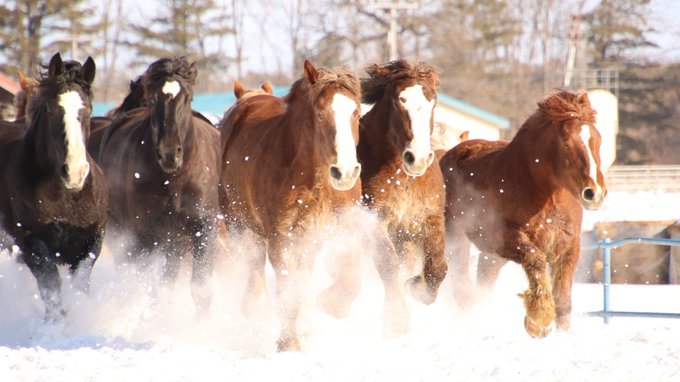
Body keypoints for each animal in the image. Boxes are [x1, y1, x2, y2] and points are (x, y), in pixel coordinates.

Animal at [0, 53, 107, 322]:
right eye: (51, 109)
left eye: (88, 109)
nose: (75, 172)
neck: (66, 198)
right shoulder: (33, 245)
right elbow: (52, 289)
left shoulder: (91, 244)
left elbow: (79, 285)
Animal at [98, 56, 222, 314]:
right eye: (155, 99)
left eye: (188, 98)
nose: (169, 154)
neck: (174, 180)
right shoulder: (148, 233)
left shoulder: (203, 229)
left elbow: (201, 288)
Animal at [220, 60, 364, 352]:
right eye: (320, 115)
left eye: (356, 113)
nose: (344, 172)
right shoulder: (280, 235)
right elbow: (287, 285)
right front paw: (288, 342)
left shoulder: (336, 228)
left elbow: (350, 276)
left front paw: (329, 307)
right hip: (241, 224)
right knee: (254, 267)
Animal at [358, 59, 448, 334]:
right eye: (400, 101)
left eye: (433, 103)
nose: (417, 158)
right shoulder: (375, 220)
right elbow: (389, 265)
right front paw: (397, 320)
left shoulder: (430, 220)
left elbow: (437, 267)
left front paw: (416, 286)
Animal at [440, 90, 604, 338]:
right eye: (566, 144)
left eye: (598, 139)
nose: (594, 192)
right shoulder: (507, 238)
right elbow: (535, 261)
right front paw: (539, 318)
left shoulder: (568, 246)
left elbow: (563, 299)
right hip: (458, 239)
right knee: (462, 285)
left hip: (492, 256)